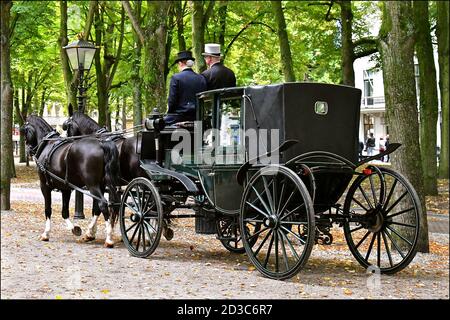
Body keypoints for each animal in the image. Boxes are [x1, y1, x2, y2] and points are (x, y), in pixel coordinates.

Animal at [21, 115, 120, 248]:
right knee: (99, 207)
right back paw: (91, 233)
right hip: (102, 185)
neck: (48, 144)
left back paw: (108, 238)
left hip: (93, 185)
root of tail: (102, 144)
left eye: (25, 131)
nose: (28, 150)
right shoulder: (66, 189)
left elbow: (48, 209)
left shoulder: (44, 186)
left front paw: (46, 234)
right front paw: (74, 229)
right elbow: (64, 211)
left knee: (103, 204)